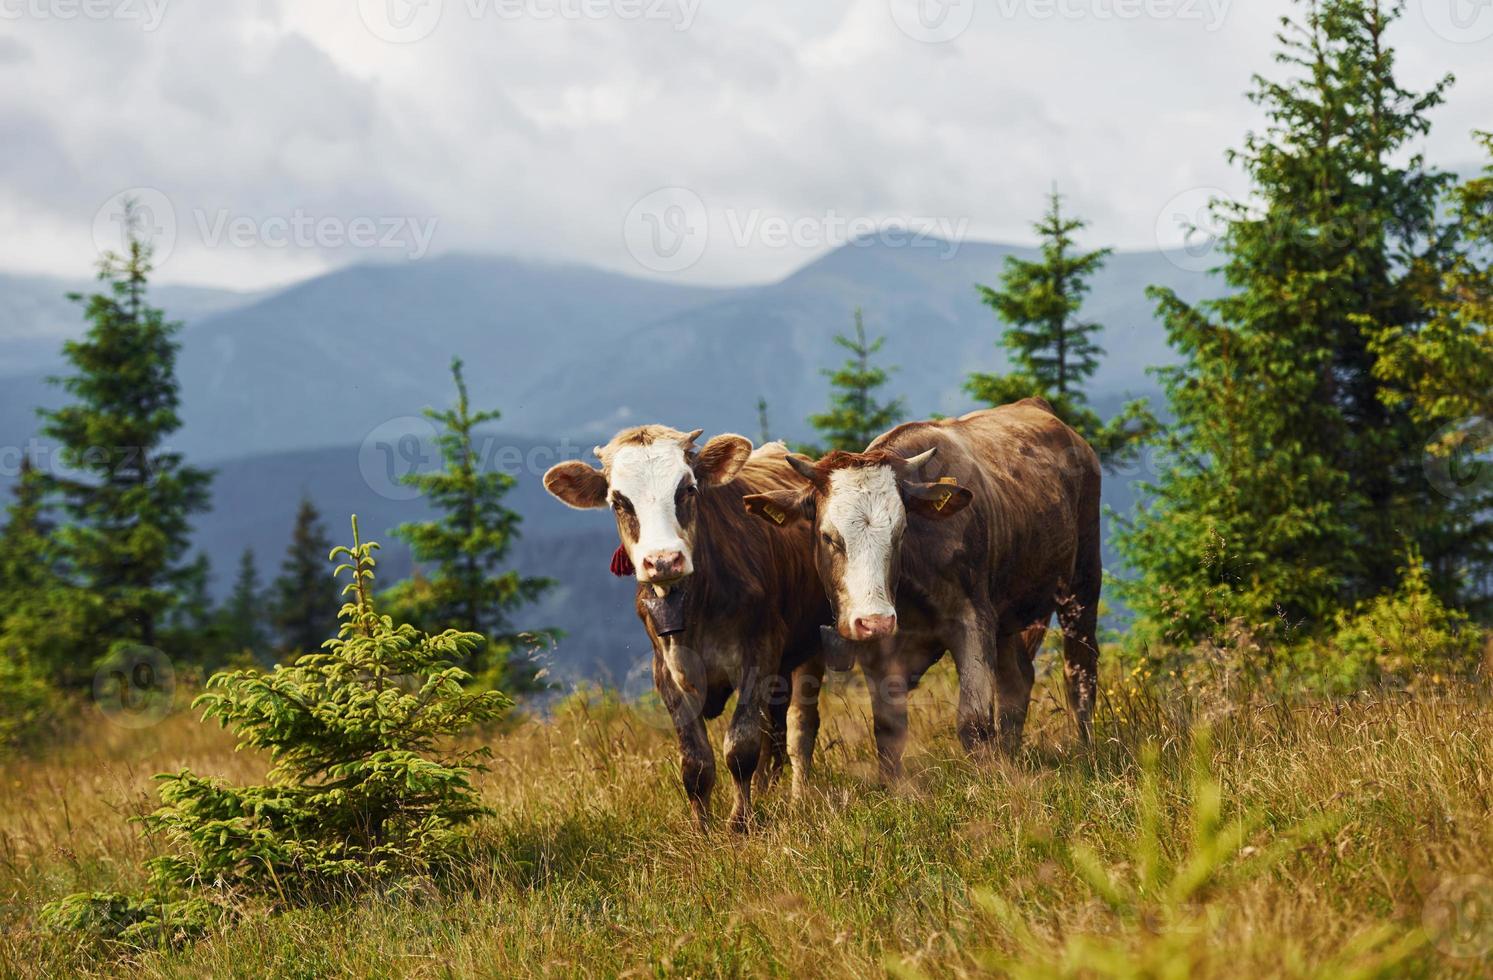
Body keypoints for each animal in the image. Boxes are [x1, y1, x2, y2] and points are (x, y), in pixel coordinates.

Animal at [546, 424, 830, 830]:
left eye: (687, 489)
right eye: (619, 501)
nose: (664, 560)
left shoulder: (759, 653)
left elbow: (741, 745)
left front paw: (740, 823)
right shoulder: (666, 669)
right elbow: (695, 760)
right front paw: (702, 828)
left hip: (812, 645)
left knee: (798, 727)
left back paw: (796, 795)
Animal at [743, 400, 1104, 782]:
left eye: (901, 531)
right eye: (828, 536)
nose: (875, 620)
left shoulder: (973, 620)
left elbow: (974, 722)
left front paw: (991, 782)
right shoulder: (880, 651)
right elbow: (889, 730)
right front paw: (893, 787)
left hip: (1081, 582)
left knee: (1080, 672)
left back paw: (1086, 749)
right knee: (1017, 679)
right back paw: (1012, 751)